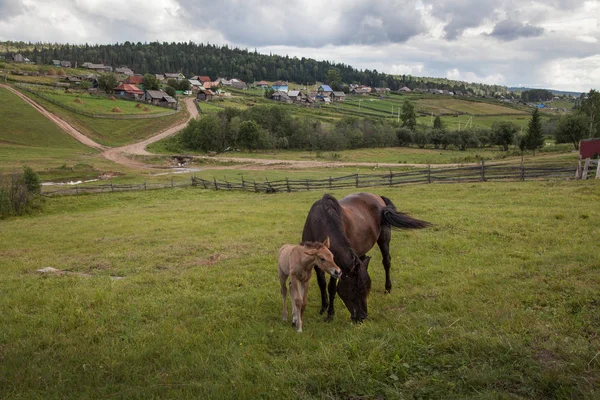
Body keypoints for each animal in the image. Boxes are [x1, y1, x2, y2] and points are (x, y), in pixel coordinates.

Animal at [302, 193, 428, 322]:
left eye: (366, 289)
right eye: (354, 290)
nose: (362, 317)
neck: (320, 223)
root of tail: (378, 197)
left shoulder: (335, 265)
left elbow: (331, 287)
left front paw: (330, 314)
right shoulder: (316, 264)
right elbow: (322, 284)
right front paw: (324, 308)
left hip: (384, 239)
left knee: (386, 262)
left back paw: (388, 288)